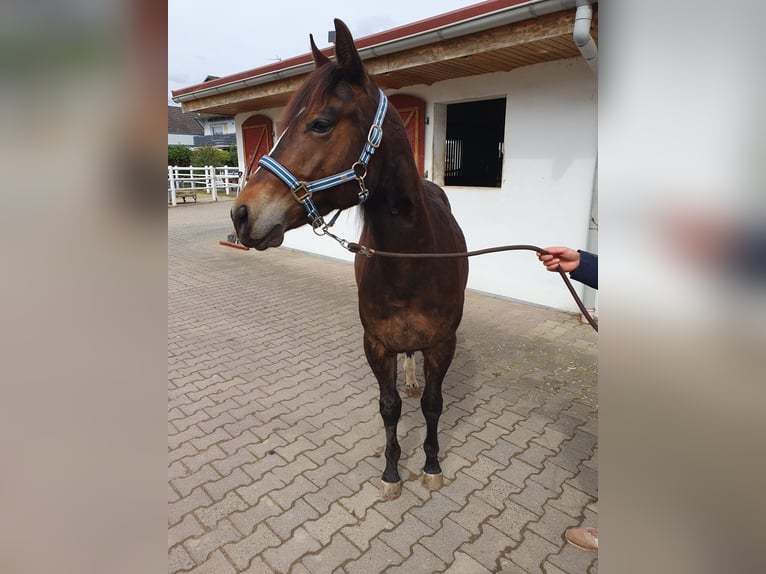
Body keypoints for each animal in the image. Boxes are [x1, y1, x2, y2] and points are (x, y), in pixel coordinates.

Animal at [231, 18, 468, 500]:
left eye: (320, 124)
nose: (241, 214)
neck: (412, 260)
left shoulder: (442, 344)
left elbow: (433, 405)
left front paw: (431, 464)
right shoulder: (376, 344)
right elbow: (389, 407)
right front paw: (392, 471)